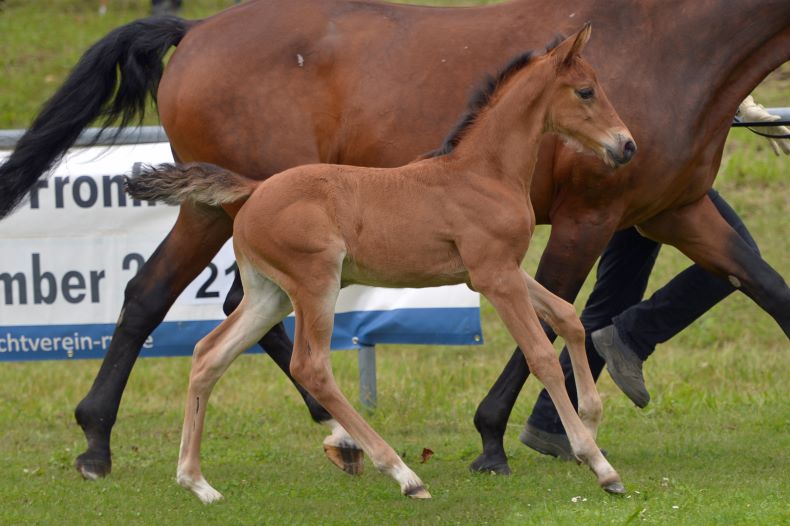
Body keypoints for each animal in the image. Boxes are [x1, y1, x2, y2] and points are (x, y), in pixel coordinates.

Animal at [128, 23, 636, 504]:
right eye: (586, 91)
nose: (627, 145)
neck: (483, 172)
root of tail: (254, 190)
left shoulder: (500, 270)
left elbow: (568, 317)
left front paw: (590, 423)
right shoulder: (495, 276)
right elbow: (541, 355)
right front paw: (599, 464)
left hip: (269, 295)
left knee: (209, 354)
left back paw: (198, 483)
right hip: (316, 283)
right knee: (311, 367)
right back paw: (403, 475)